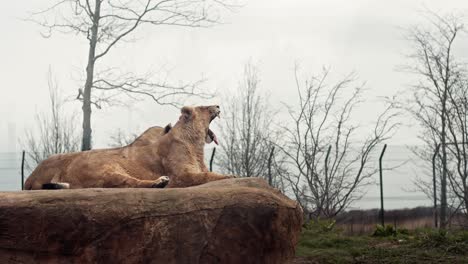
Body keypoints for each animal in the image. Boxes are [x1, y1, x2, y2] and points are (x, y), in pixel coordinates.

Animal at [24, 105, 229, 190]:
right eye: (204, 107)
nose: (217, 105)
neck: (196, 146)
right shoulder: (182, 176)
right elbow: (209, 176)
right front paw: (231, 177)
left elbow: (209, 174)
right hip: (107, 171)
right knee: (131, 183)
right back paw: (159, 182)